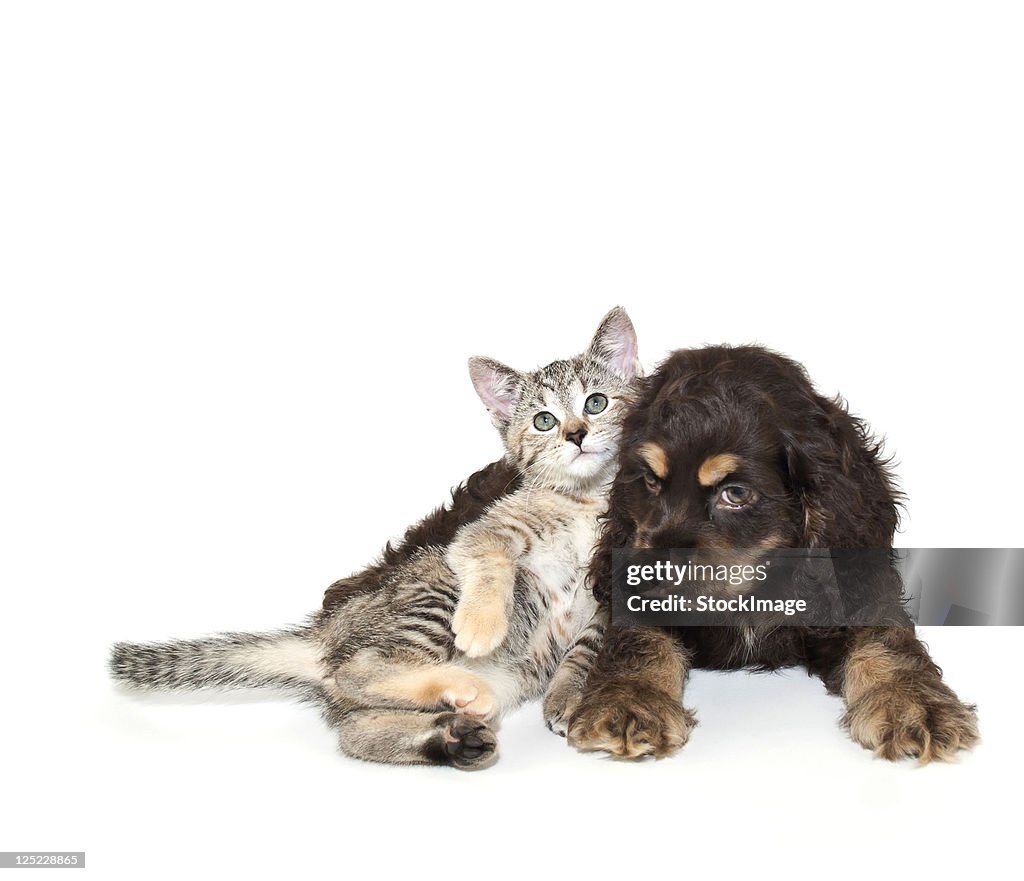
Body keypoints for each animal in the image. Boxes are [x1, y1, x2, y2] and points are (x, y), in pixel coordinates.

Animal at [112, 305, 638, 766]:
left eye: (595, 402)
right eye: (543, 420)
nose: (576, 434)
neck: (585, 501)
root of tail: (325, 632)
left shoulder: (611, 590)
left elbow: (587, 646)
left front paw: (567, 694)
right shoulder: (484, 531)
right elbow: (491, 558)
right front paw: (482, 622)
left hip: (510, 673)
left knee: (355, 727)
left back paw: (453, 737)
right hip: (435, 594)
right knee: (357, 672)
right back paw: (459, 692)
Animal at [548, 344, 978, 762]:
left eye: (736, 493)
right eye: (651, 481)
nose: (652, 571)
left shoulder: (858, 580)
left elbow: (884, 636)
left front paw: (914, 704)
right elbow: (639, 636)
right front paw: (629, 701)